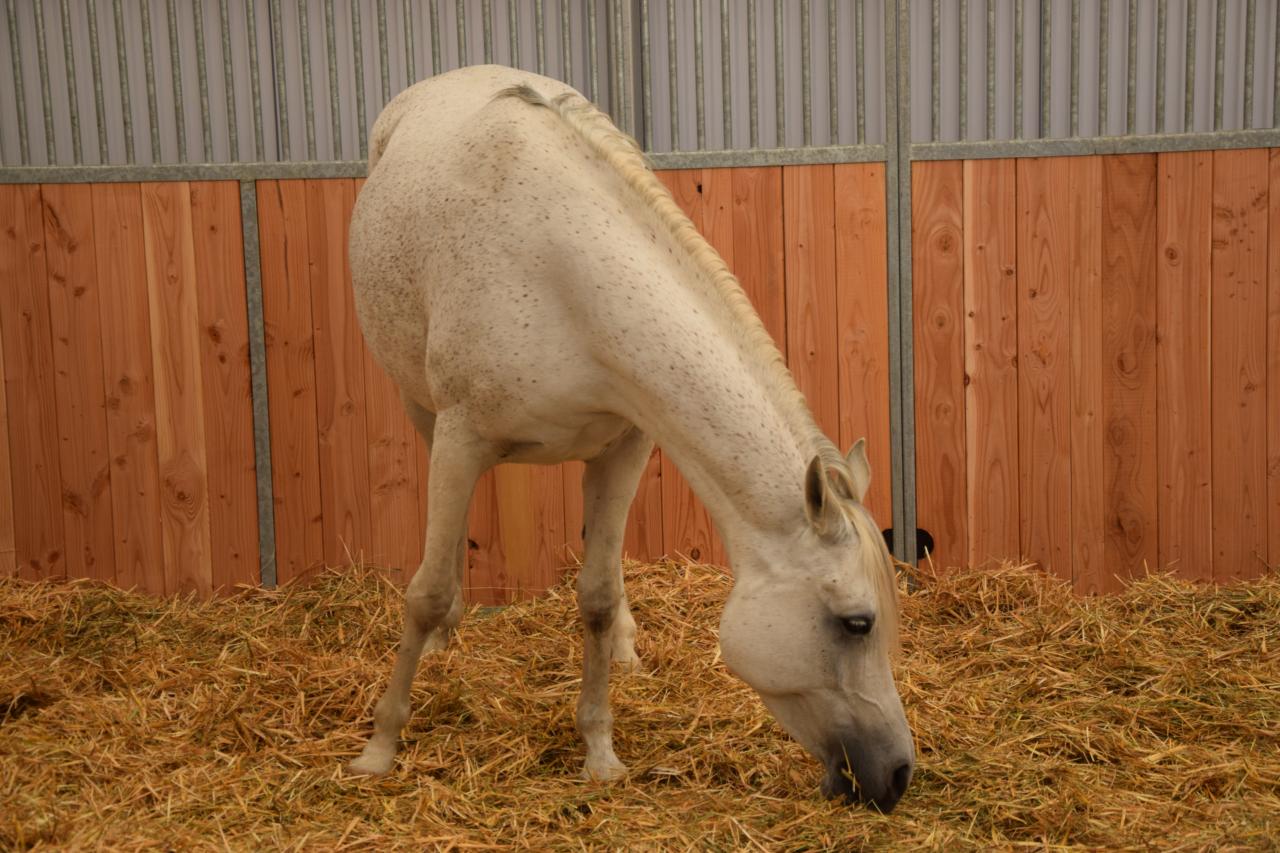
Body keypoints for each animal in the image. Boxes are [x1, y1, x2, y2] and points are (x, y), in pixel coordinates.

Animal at [345, 65, 913, 811]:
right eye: (857, 623)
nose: (900, 775)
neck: (562, 274)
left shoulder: (627, 446)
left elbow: (595, 596)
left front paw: (600, 749)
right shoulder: (461, 438)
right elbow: (427, 591)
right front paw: (381, 744)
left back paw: (624, 647)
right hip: (421, 408)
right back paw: (443, 643)